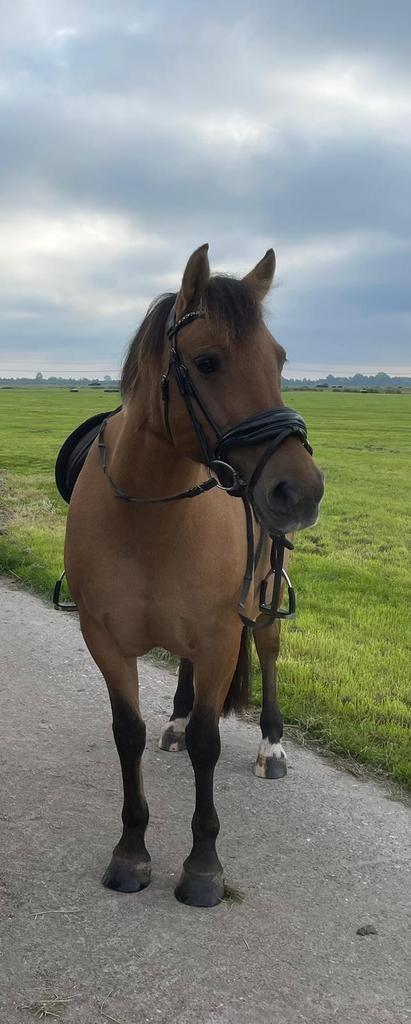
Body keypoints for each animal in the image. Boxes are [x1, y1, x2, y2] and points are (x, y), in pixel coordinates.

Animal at [64, 244, 324, 907]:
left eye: (279, 359)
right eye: (207, 362)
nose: (302, 491)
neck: (150, 512)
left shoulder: (219, 638)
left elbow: (211, 743)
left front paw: (203, 865)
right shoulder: (106, 642)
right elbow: (126, 733)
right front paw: (131, 851)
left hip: (262, 602)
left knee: (269, 651)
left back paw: (271, 745)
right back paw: (177, 721)